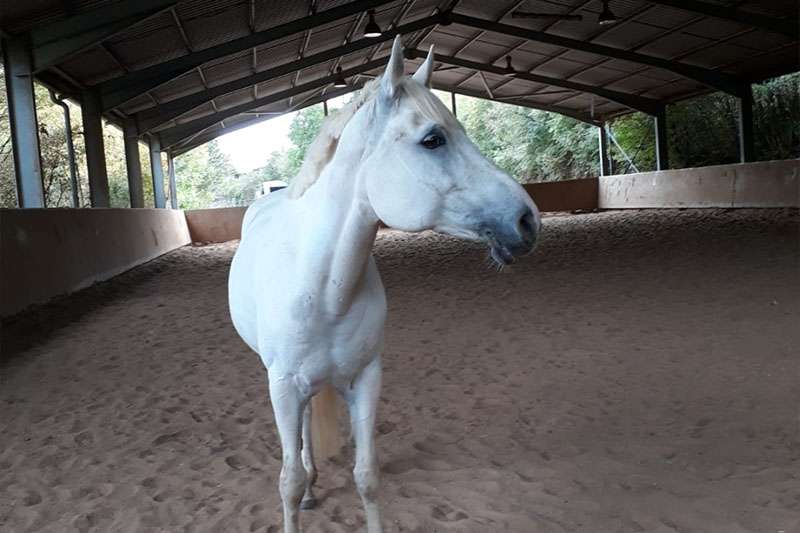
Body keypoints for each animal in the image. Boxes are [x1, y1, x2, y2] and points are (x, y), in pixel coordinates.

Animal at [231, 37, 544, 532]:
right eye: (433, 139)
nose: (527, 221)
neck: (324, 291)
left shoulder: (366, 380)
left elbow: (367, 476)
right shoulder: (281, 386)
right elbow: (288, 481)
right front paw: (301, 492)